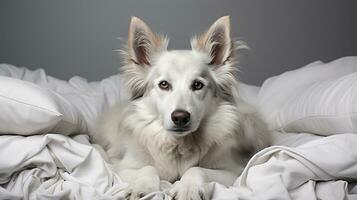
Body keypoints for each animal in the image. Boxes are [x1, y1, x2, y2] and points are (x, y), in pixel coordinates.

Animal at [92, 16, 270, 200]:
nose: (180, 117)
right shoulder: (121, 167)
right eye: (163, 84)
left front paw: (188, 188)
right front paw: (143, 187)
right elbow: (147, 168)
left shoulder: (233, 171)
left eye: (197, 85)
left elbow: (196, 169)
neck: (178, 145)